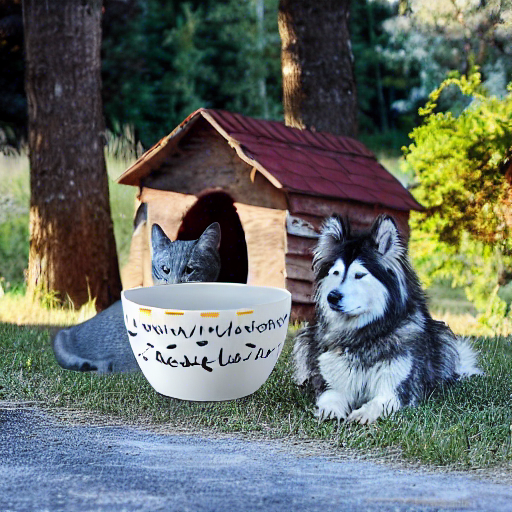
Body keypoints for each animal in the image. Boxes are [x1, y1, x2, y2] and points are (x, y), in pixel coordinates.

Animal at [293, 214, 481, 424]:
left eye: (359, 275)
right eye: (335, 273)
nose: (332, 297)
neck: (363, 335)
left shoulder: (395, 388)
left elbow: (379, 403)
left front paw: (362, 414)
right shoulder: (333, 383)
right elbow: (330, 398)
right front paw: (330, 411)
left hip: (443, 337)